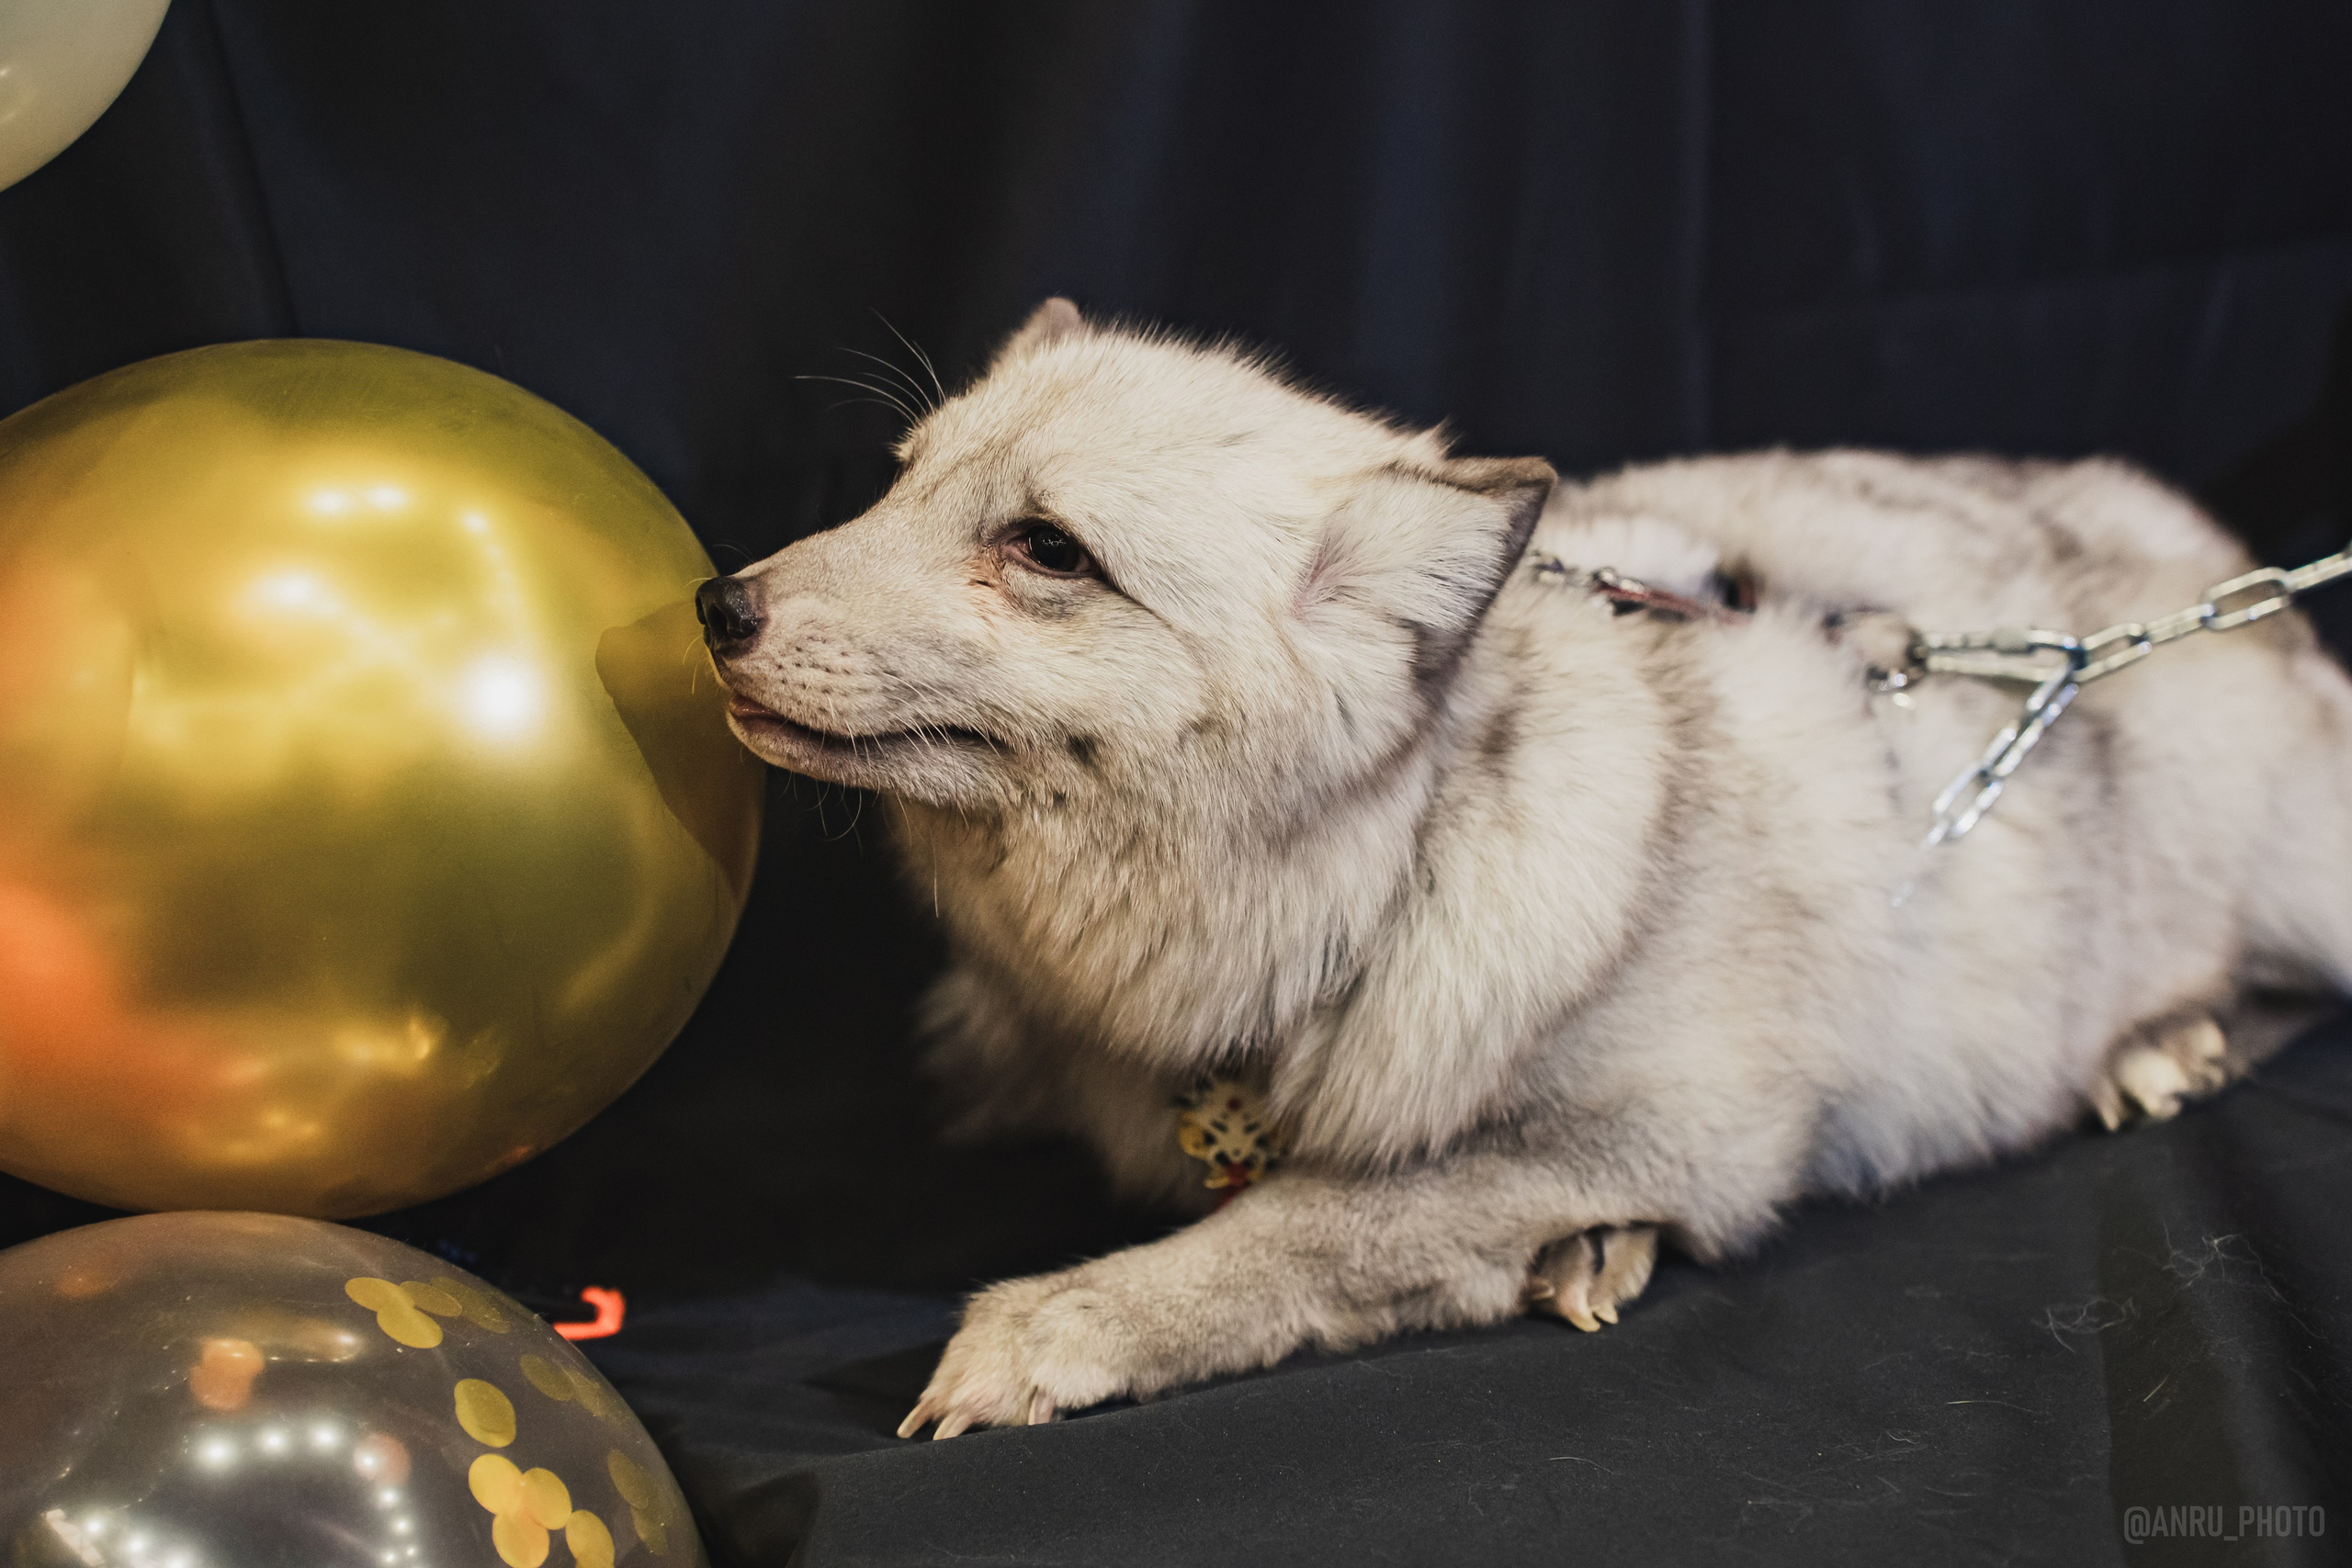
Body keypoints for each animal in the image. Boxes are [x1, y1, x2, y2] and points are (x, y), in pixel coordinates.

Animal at [695, 298, 2352, 1438]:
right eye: (897, 483)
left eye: (1047, 548)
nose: (713, 604)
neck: (1392, 864)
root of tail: (2225, 561)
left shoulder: (1704, 1130)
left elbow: (1307, 1223)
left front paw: (1057, 1322)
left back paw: (2159, 1044)